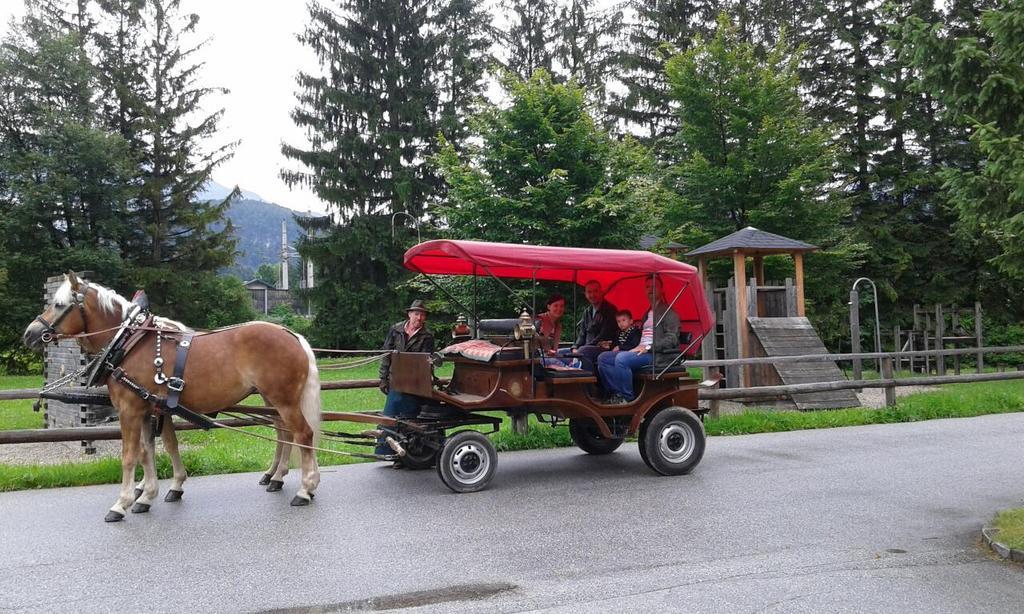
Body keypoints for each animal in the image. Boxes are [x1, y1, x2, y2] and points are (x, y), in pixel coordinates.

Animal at [23, 274, 319, 521]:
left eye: (59, 305)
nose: (30, 333)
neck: (128, 343)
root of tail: (293, 335)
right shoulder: (149, 409)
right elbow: (151, 451)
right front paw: (149, 494)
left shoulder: (130, 410)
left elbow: (131, 455)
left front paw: (122, 503)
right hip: (274, 400)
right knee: (287, 432)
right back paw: (282, 478)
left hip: (283, 400)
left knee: (303, 434)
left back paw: (305, 488)